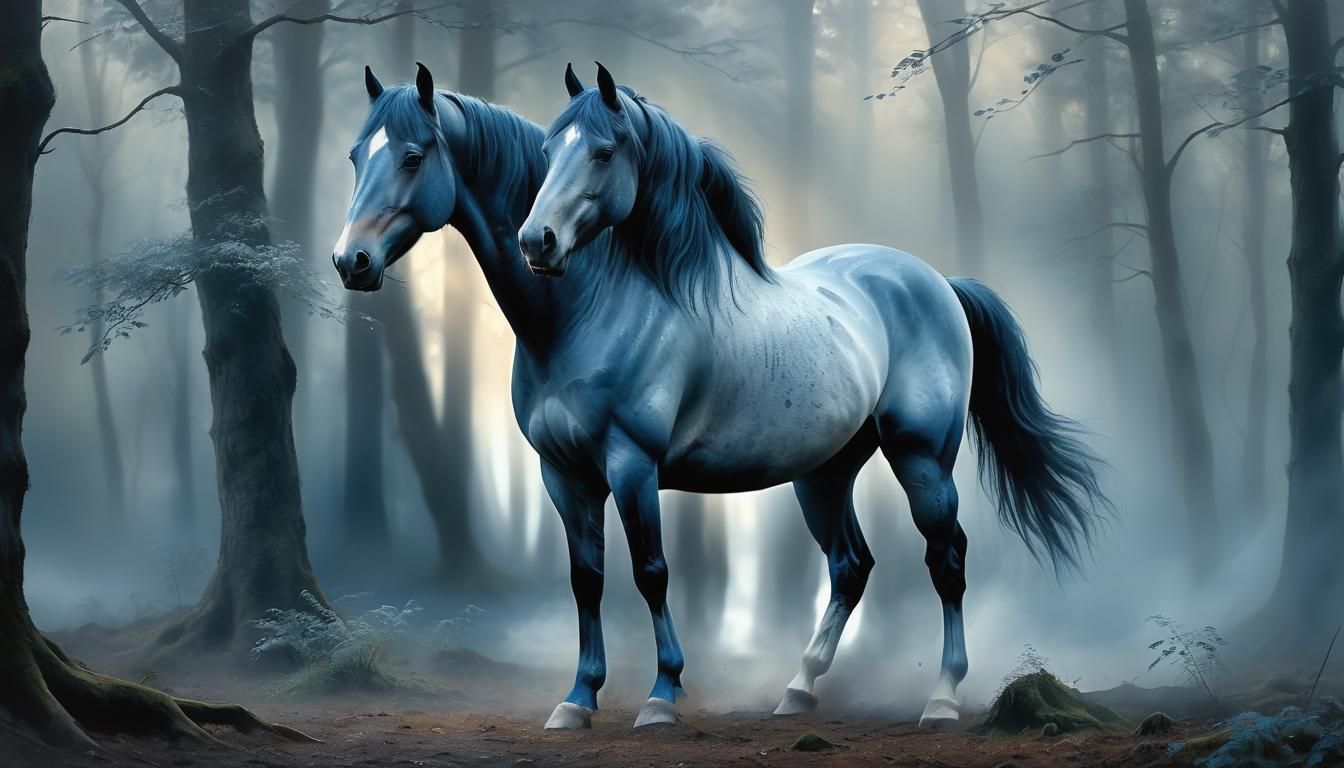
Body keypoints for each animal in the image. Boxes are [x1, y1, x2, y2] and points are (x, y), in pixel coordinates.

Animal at [515, 62, 1112, 730]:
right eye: (546, 152)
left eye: (603, 151)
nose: (536, 242)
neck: (607, 310)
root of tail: (938, 280)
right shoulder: (564, 474)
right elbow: (585, 579)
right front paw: (576, 700)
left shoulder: (631, 466)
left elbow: (649, 573)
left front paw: (660, 697)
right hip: (825, 473)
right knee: (851, 565)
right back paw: (798, 689)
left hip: (923, 459)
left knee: (946, 557)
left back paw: (942, 697)